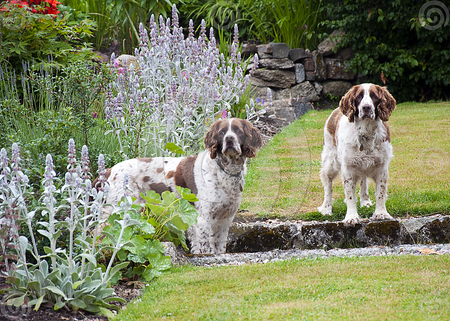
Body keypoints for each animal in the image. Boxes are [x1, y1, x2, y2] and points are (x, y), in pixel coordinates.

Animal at [100, 117, 262, 252]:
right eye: (222, 132)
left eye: (238, 131)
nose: (229, 139)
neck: (225, 171)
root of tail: (109, 171)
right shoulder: (203, 219)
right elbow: (205, 248)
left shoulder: (225, 219)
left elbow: (219, 247)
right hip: (119, 209)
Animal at [318, 84, 396, 224]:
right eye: (359, 96)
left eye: (374, 96)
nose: (366, 107)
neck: (366, 132)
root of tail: (335, 110)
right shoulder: (348, 168)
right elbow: (350, 196)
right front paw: (351, 217)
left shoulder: (382, 167)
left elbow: (381, 193)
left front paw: (381, 213)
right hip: (330, 162)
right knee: (328, 185)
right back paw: (326, 208)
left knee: (363, 181)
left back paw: (365, 201)